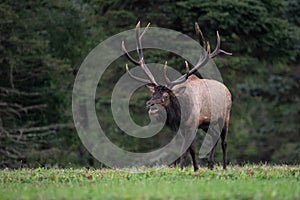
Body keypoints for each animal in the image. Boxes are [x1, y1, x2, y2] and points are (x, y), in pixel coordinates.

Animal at [121, 22, 232, 172]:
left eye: (166, 95)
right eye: (153, 93)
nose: (150, 105)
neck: (180, 114)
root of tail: (227, 90)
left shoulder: (192, 125)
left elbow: (187, 150)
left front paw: (182, 168)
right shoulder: (181, 129)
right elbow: (190, 149)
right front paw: (195, 168)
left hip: (225, 116)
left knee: (224, 141)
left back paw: (224, 167)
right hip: (207, 123)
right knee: (214, 135)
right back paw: (210, 164)